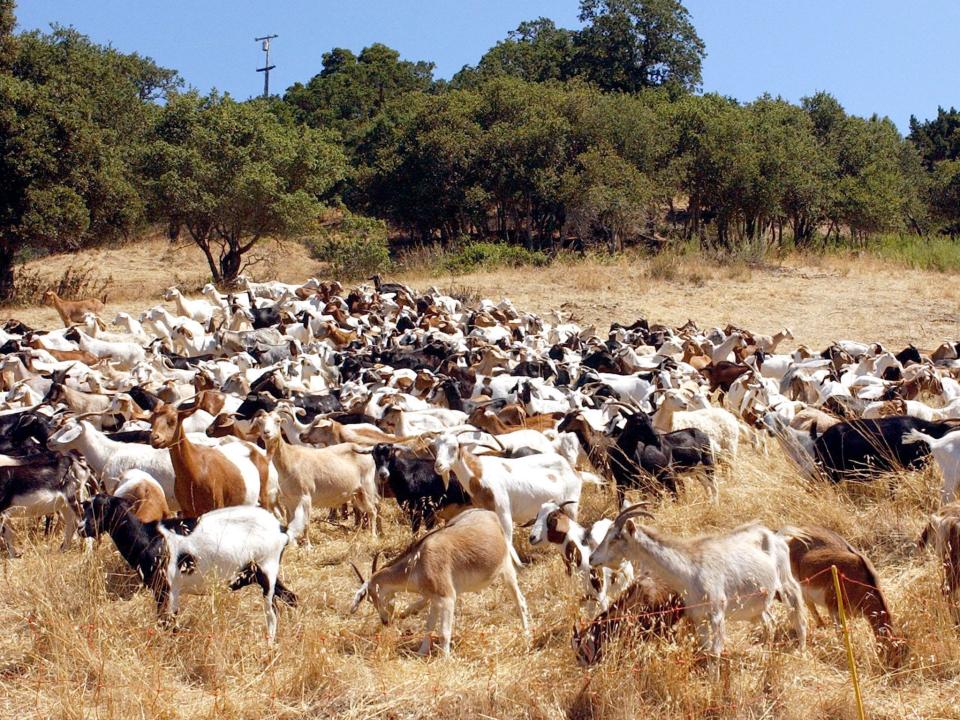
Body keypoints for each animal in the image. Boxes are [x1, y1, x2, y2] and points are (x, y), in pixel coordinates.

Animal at [346, 510, 528, 656]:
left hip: (507, 571)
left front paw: (445, 658)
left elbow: (444, 632)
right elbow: (429, 627)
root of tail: (492, 515)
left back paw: (527, 636)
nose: (385, 621)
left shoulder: (447, 598)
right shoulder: (435, 599)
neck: (418, 562)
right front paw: (421, 652)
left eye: (372, 596)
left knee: (521, 602)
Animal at [588, 506, 808, 660]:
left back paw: (801, 650)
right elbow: (704, 649)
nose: (591, 558)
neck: (689, 569)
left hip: (785, 583)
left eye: (616, 537)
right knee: (770, 623)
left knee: (797, 608)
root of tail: (777, 536)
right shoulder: (698, 617)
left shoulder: (717, 614)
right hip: (759, 602)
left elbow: (715, 652)